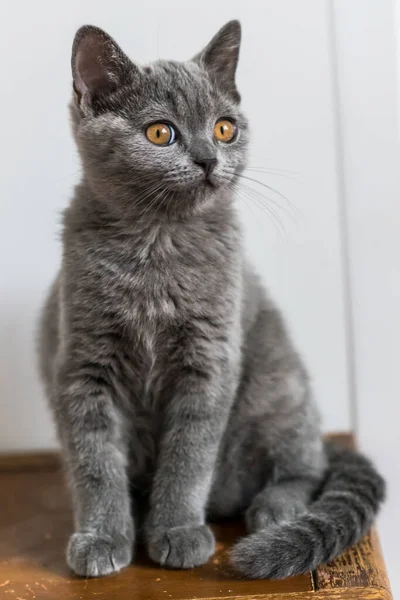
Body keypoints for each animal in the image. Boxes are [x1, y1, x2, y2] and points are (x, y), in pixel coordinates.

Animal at [39, 21, 386, 580]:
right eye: (161, 132)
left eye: (225, 128)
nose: (208, 158)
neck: (157, 247)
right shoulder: (83, 364)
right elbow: (95, 461)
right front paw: (103, 537)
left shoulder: (208, 360)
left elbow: (188, 455)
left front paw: (177, 530)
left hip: (279, 381)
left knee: (305, 464)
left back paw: (275, 508)